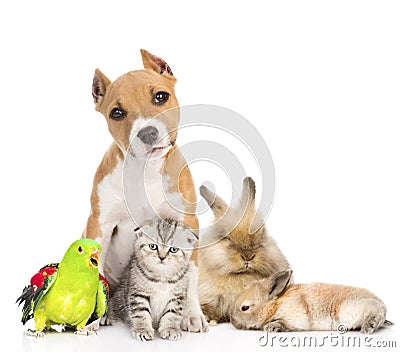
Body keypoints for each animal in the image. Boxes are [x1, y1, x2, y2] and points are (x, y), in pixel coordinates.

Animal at [83, 50, 208, 332]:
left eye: (160, 96)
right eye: (117, 113)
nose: (148, 133)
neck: (146, 170)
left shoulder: (188, 222)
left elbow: (192, 273)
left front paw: (192, 314)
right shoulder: (99, 223)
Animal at [230, 268, 392, 334]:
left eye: (245, 308)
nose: (232, 320)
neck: (275, 306)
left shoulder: (296, 317)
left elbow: (283, 323)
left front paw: (271, 327)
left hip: (351, 310)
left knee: (376, 312)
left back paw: (368, 327)